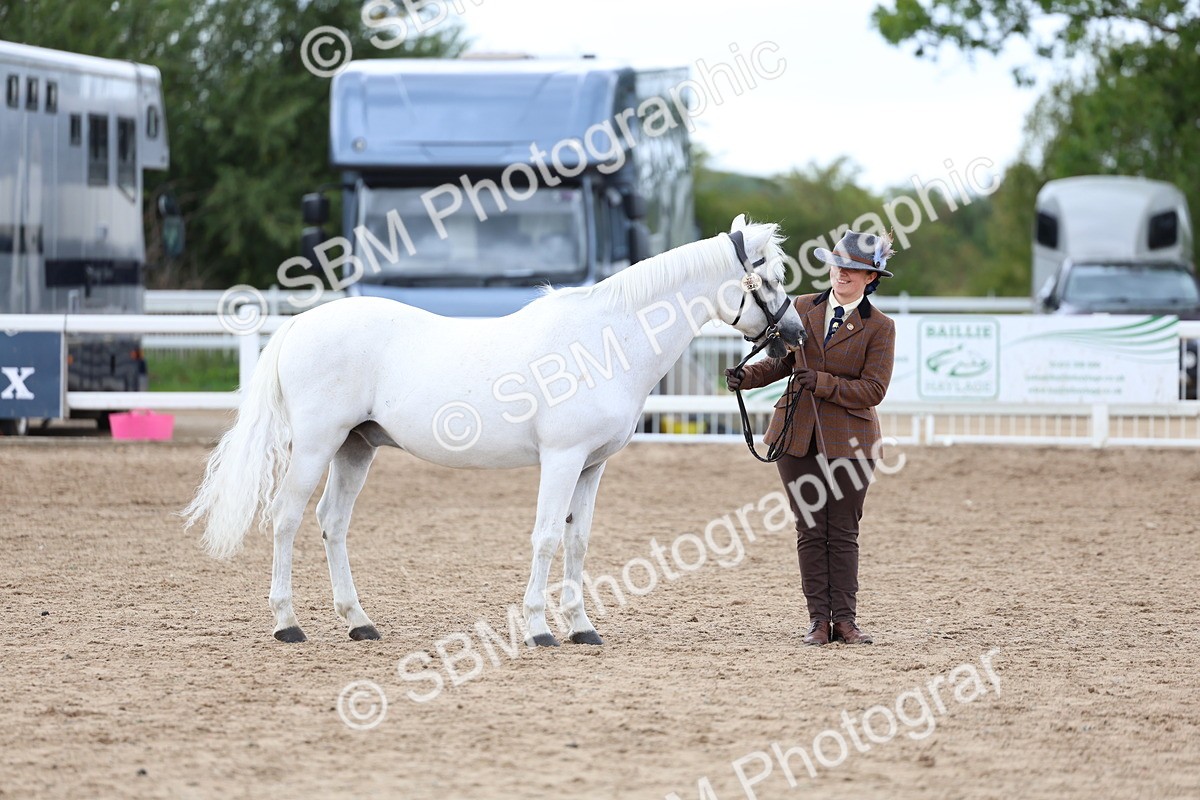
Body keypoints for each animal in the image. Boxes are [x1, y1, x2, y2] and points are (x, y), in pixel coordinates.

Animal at [182, 215, 804, 646]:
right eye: (770, 278)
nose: (796, 336)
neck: (606, 340)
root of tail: (299, 324)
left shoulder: (592, 466)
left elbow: (578, 542)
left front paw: (582, 628)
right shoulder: (562, 458)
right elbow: (546, 538)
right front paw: (539, 629)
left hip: (356, 448)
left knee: (331, 523)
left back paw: (360, 622)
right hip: (316, 445)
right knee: (286, 519)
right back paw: (288, 624)